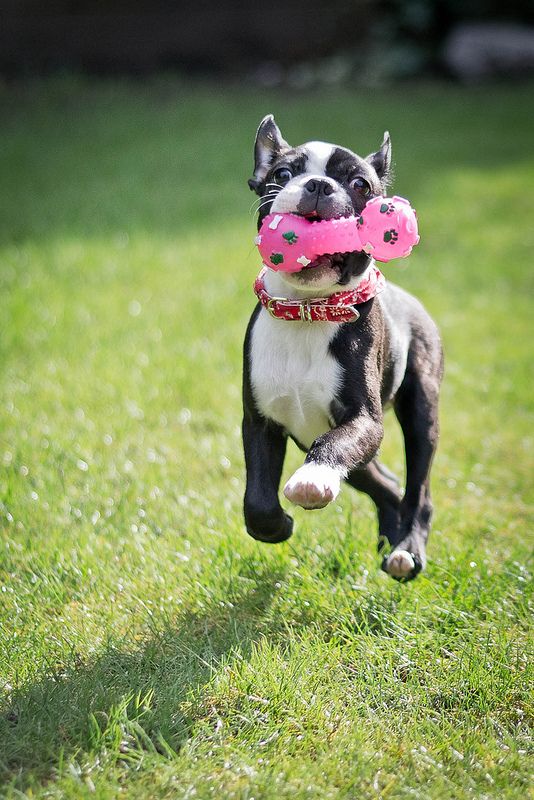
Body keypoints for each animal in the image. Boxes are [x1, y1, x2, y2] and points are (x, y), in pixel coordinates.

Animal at [243, 114, 444, 580]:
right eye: (283, 174)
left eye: (359, 183)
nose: (318, 185)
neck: (308, 310)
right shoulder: (260, 421)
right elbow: (257, 498)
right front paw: (276, 527)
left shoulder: (363, 421)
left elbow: (333, 445)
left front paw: (312, 479)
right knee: (387, 484)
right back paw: (389, 537)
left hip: (421, 409)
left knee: (418, 489)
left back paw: (407, 550)